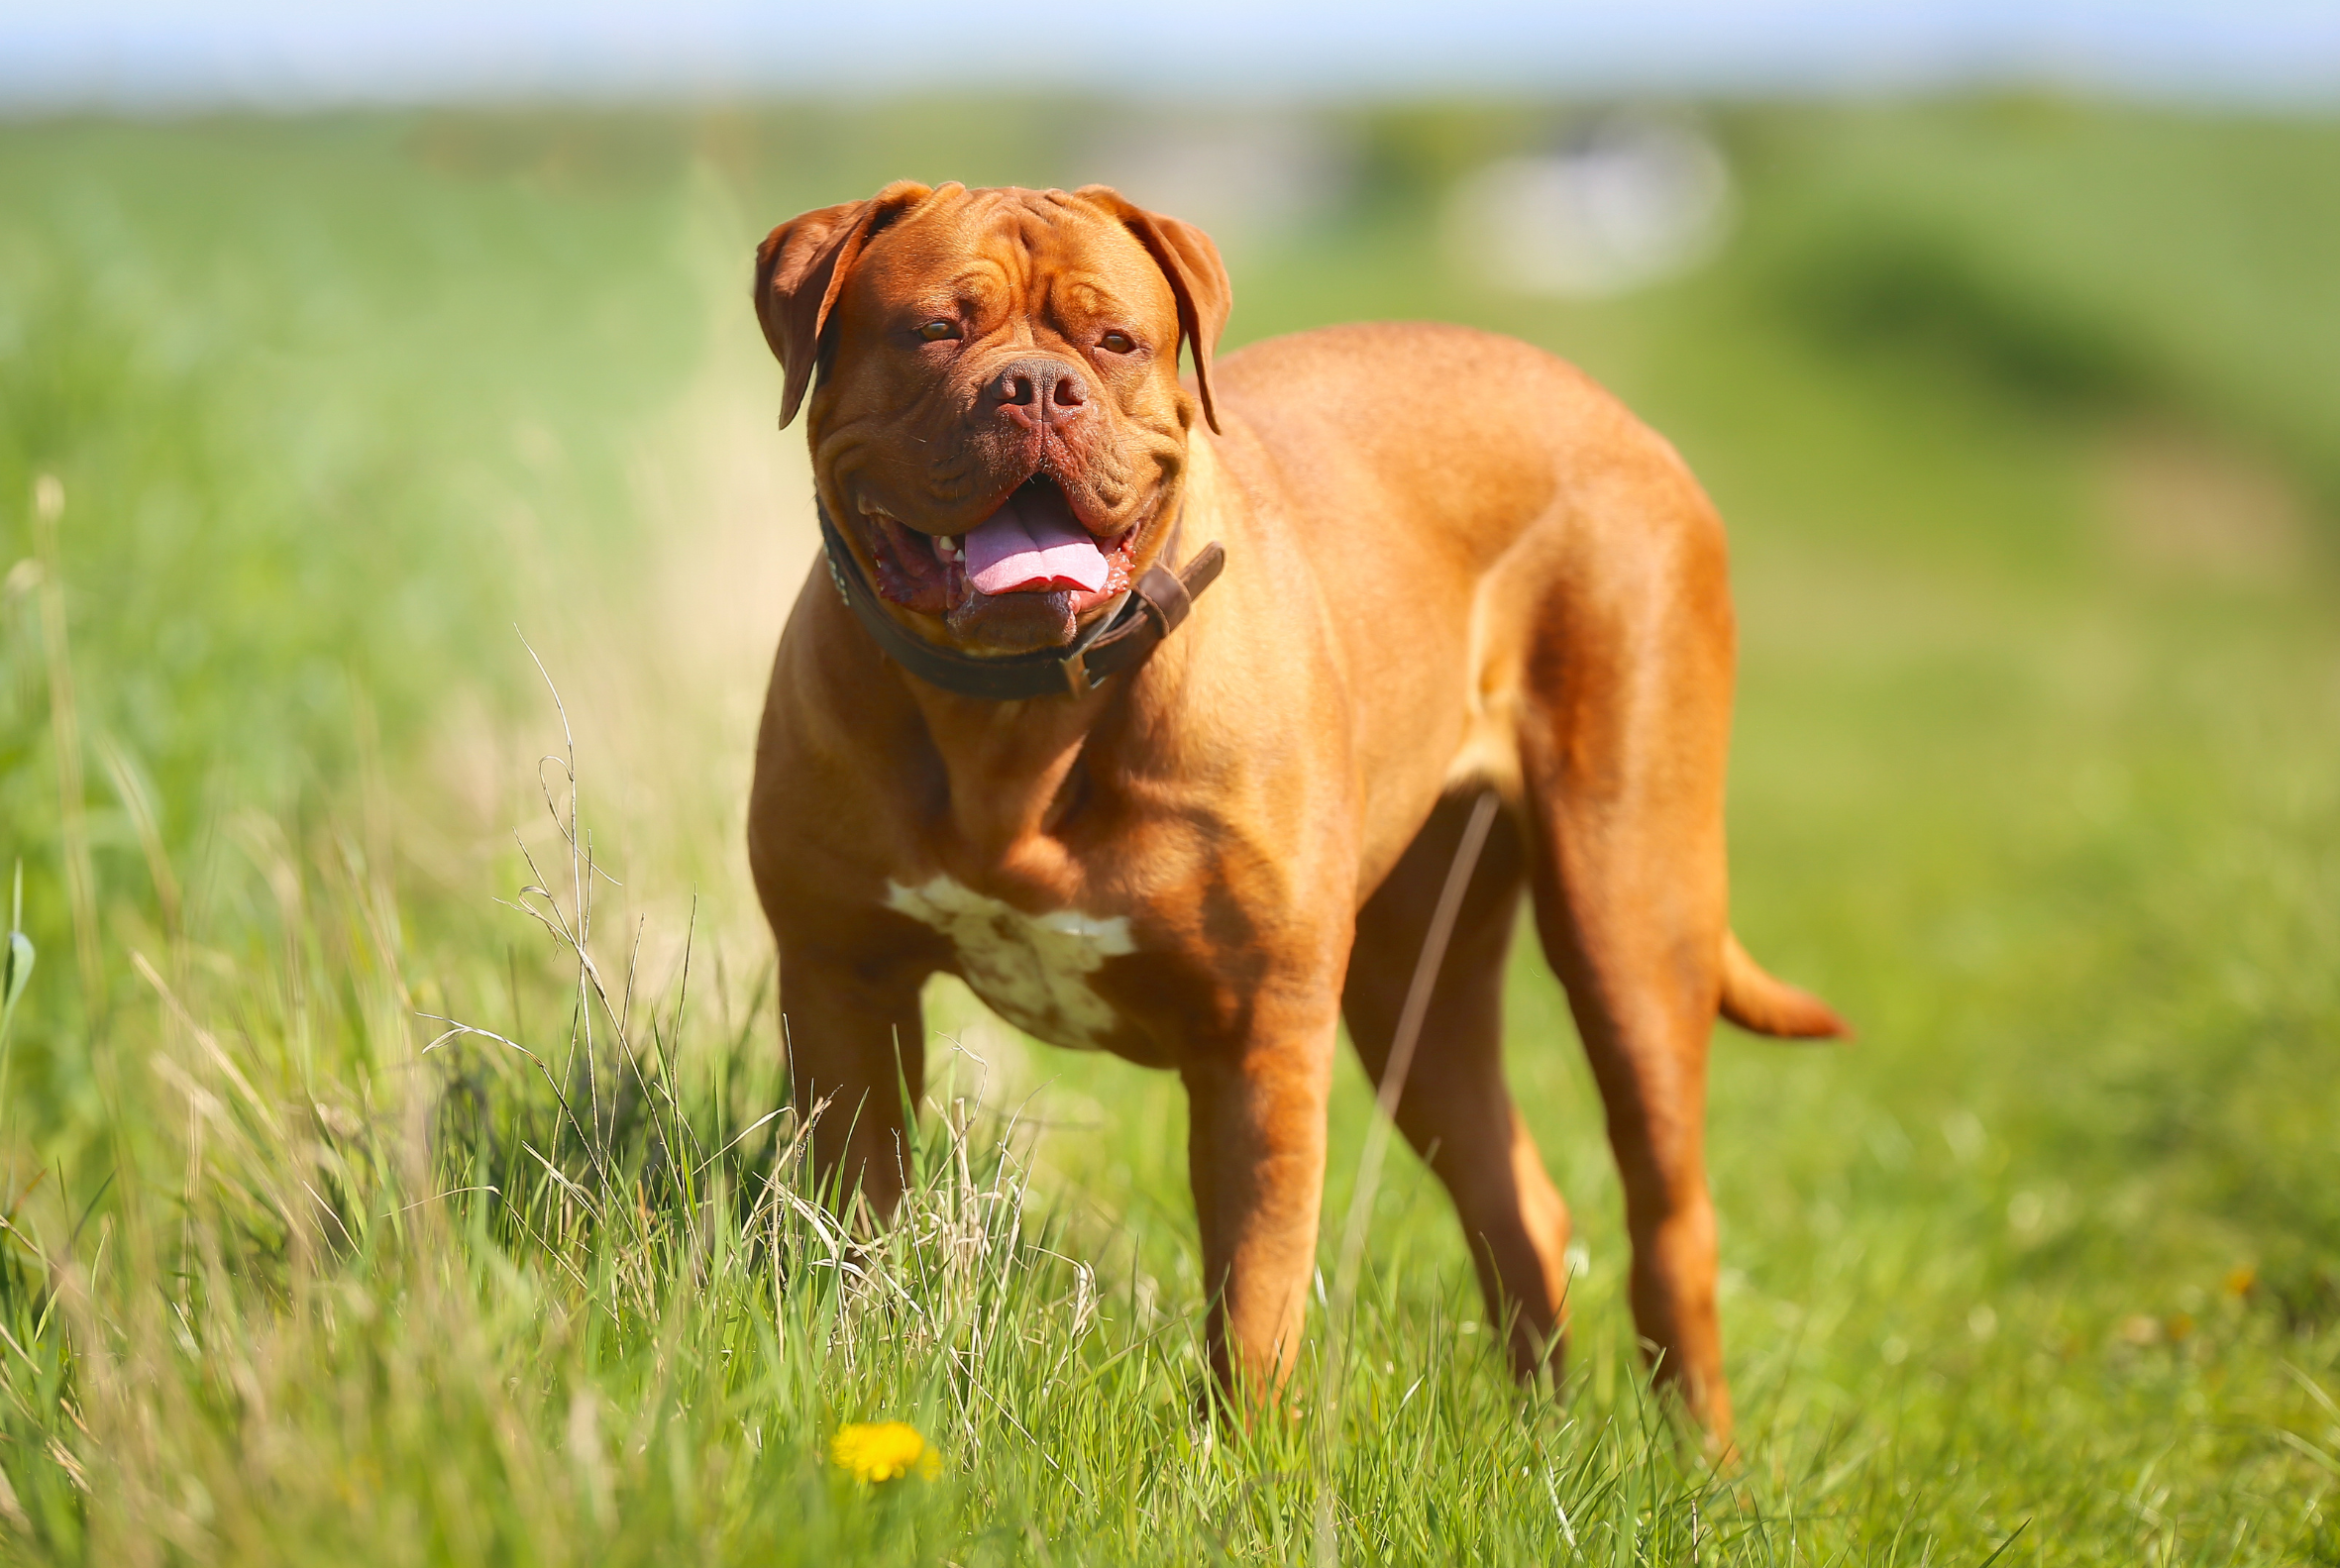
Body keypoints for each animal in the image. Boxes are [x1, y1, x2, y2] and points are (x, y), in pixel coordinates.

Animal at [748, 177, 1844, 1441]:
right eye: (933, 328)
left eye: (1114, 340)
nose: (1036, 386)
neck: (1013, 716)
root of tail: (1617, 415)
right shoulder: (843, 985)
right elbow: (856, 1223)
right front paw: (854, 1366)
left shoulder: (1259, 1036)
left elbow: (1256, 1288)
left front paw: (1235, 1456)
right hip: (1413, 984)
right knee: (1517, 1195)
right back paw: (1543, 1436)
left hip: (1629, 915)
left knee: (1671, 1216)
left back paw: (1696, 1459)